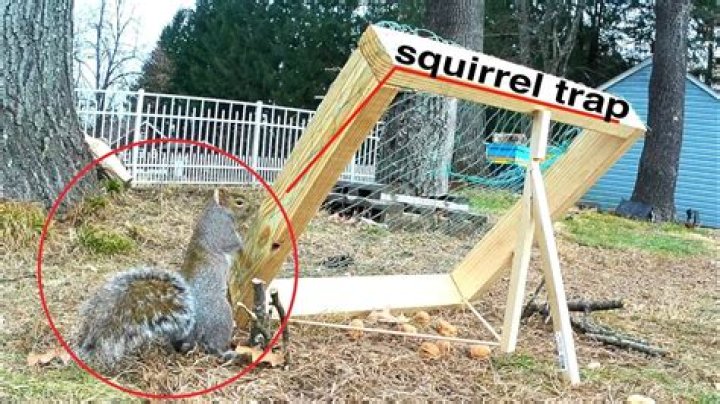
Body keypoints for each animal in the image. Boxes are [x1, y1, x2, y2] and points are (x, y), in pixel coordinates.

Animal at [73, 189, 244, 370]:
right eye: (239, 202)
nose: (253, 207)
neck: (215, 211)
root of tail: (193, 331)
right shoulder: (222, 231)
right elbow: (236, 243)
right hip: (221, 316)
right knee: (215, 346)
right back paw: (228, 351)